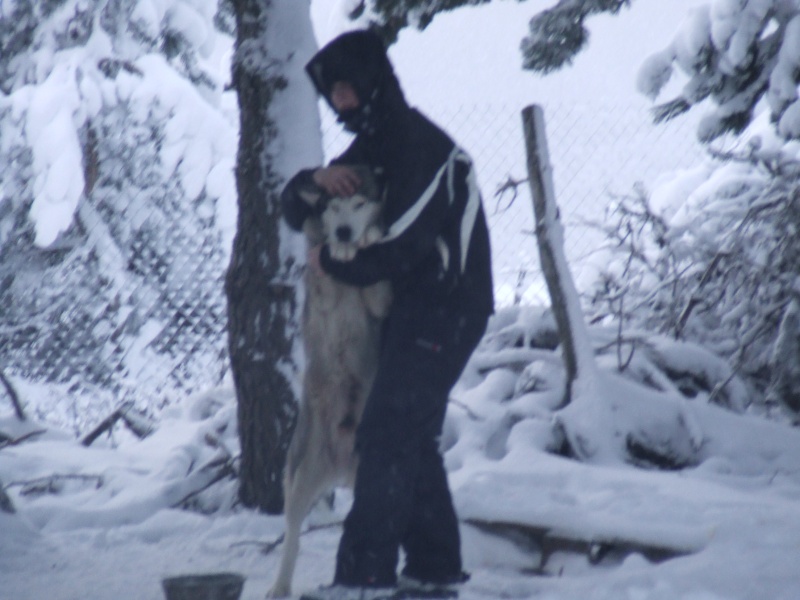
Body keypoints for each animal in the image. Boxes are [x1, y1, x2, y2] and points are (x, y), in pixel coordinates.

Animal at [268, 165, 394, 600]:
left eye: (358, 203)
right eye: (333, 205)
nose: (341, 231)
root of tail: (339, 464)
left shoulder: (380, 300)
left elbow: (375, 253)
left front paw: (366, 238)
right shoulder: (318, 288)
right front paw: (336, 247)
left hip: (367, 477)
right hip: (298, 482)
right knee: (291, 538)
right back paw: (280, 586)